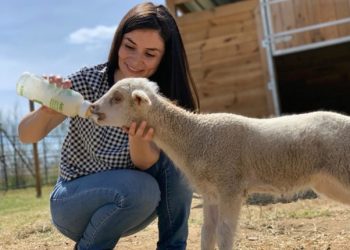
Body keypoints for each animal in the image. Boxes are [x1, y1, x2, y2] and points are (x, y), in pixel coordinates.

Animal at [89, 77, 350, 249]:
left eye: (118, 98)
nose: (93, 108)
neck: (197, 136)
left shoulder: (230, 187)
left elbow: (224, 234)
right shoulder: (211, 193)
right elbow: (208, 233)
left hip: (342, 168)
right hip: (329, 182)